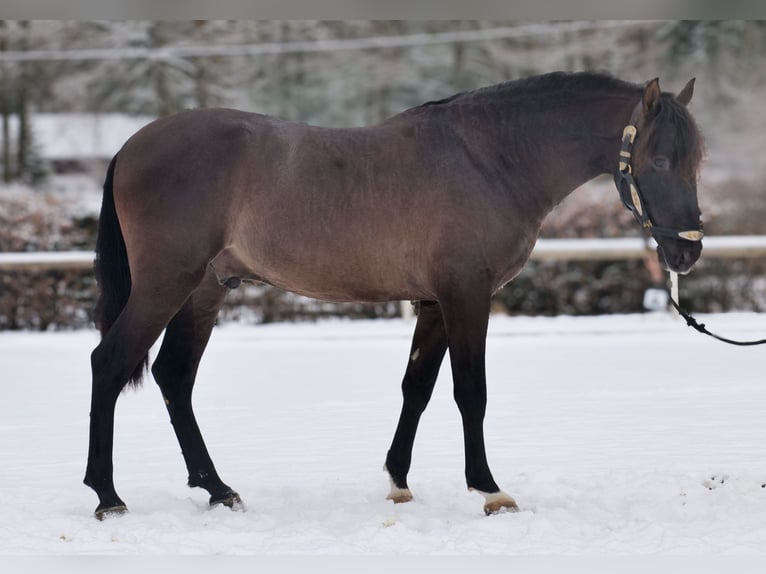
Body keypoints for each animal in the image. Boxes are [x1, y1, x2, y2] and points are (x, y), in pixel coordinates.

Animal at [84, 71, 704, 519]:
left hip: (205, 290)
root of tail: (132, 146)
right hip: (167, 282)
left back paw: (217, 488)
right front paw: (489, 489)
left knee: (173, 376)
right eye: (659, 160)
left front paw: (398, 481)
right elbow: (469, 391)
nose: (687, 252)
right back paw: (108, 496)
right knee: (110, 362)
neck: (491, 158)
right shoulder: (465, 295)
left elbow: (417, 388)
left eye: (696, 160)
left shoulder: (433, 302)